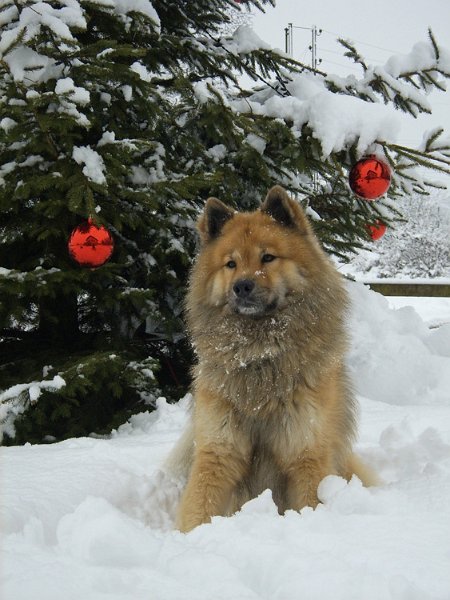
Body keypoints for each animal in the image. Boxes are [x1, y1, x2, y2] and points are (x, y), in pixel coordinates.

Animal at [171, 185, 374, 532]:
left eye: (268, 257)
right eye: (230, 264)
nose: (242, 286)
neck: (259, 358)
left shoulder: (306, 453)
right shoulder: (218, 450)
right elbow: (200, 505)